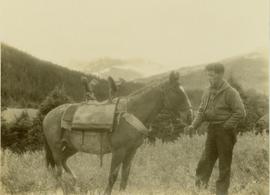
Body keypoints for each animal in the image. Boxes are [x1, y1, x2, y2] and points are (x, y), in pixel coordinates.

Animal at [43, 72, 193, 195]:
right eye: (176, 91)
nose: (190, 116)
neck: (132, 112)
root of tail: (47, 116)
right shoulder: (119, 151)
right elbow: (112, 176)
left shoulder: (131, 151)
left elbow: (125, 176)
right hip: (56, 148)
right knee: (58, 172)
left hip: (71, 147)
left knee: (63, 162)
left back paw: (74, 184)